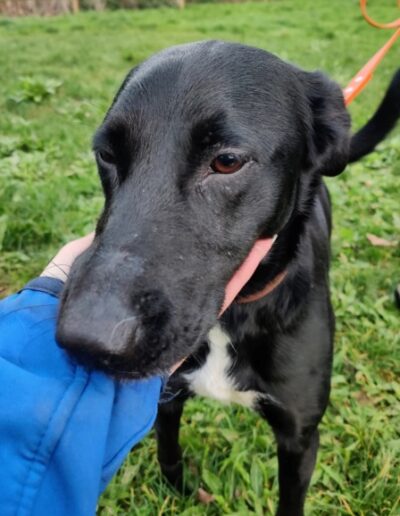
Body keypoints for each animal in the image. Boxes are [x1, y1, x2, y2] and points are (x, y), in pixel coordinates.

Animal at [56, 41, 400, 515]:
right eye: (106, 154)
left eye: (227, 161)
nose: (85, 341)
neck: (232, 316)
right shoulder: (167, 401)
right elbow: (168, 456)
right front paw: (181, 494)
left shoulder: (300, 436)